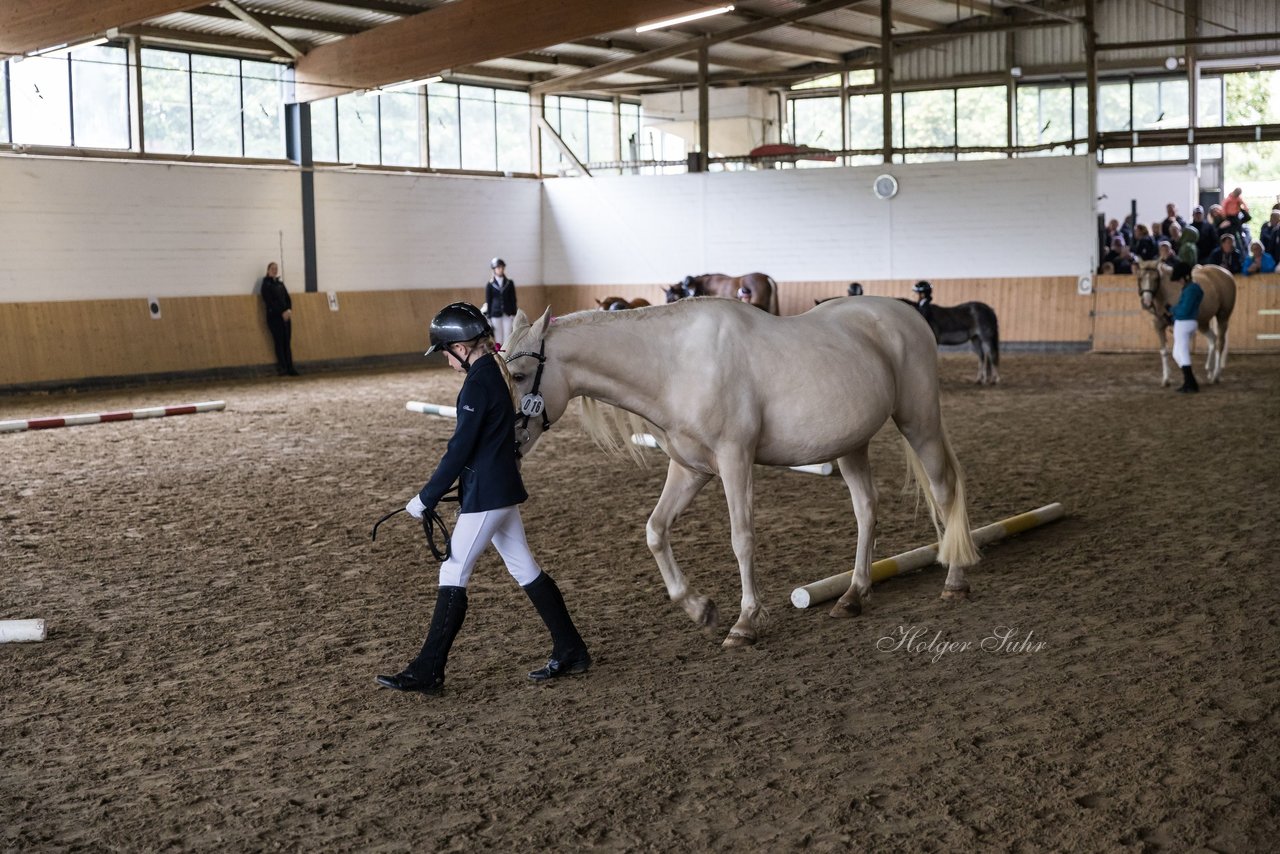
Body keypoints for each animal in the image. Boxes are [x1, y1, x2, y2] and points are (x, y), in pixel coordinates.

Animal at [501, 299, 977, 647]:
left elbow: (741, 539)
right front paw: (700, 609)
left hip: (919, 422)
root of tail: (907, 315)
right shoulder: (690, 468)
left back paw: (955, 579)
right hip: (851, 446)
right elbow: (655, 531)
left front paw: (745, 622)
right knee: (866, 510)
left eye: (520, 375)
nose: (509, 449)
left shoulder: (735, 460)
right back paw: (853, 595)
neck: (675, 365)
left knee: (945, 491)